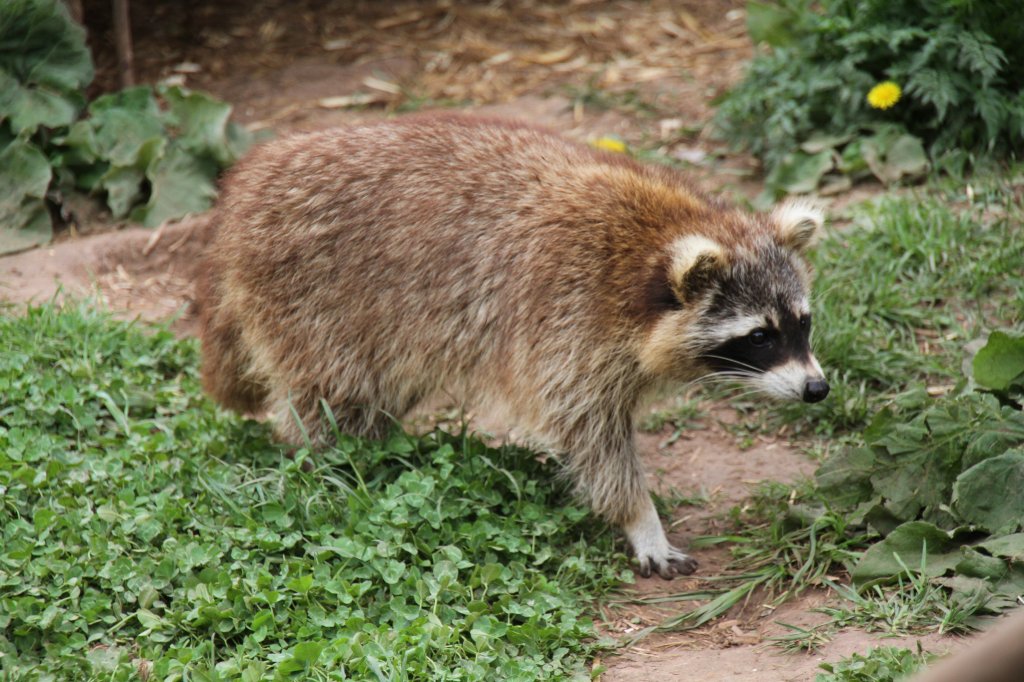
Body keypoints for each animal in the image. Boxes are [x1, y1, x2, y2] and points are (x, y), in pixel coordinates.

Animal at [195, 114, 827, 577]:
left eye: (804, 324)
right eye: (759, 336)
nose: (817, 389)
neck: (654, 242)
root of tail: (241, 196)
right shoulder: (565, 321)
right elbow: (590, 437)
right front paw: (638, 517)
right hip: (312, 297)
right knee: (333, 396)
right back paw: (331, 461)